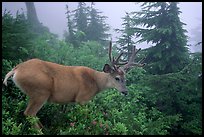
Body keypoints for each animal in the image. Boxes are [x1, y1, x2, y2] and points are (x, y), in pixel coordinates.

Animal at [3, 41, 146, 130]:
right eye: (117, 78)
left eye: (126, 79)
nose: (125, 92)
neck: (95, 82)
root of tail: (16, 70)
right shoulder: (82, 98)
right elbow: (86, 117)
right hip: (40, 91)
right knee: (29, 113)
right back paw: (40, 131)